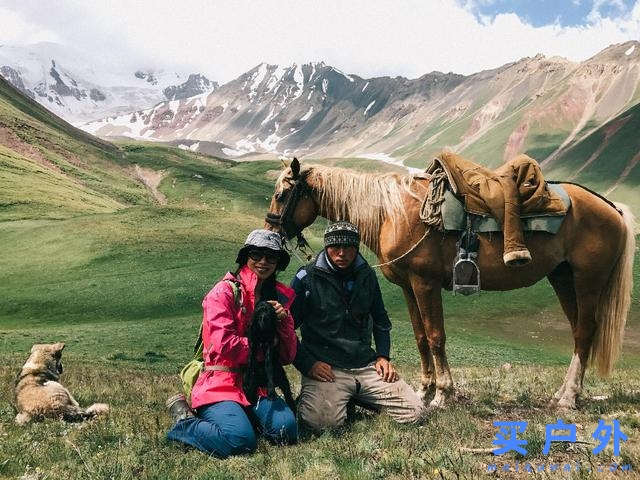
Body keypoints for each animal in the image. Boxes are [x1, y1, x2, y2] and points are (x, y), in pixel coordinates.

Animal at [264, 158, 636, 408]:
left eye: (282, 195)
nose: (270, 234)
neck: (392, 212)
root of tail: (610, 207)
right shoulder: (408, 287)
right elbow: (420, 338)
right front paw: (424, 390)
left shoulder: (424, 283)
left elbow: (436, 337)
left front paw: (443, 394)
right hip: (563, 279)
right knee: (578, 332)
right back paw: (562, 392)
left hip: (588, 281)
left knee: (585, 332)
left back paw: (569, 398)